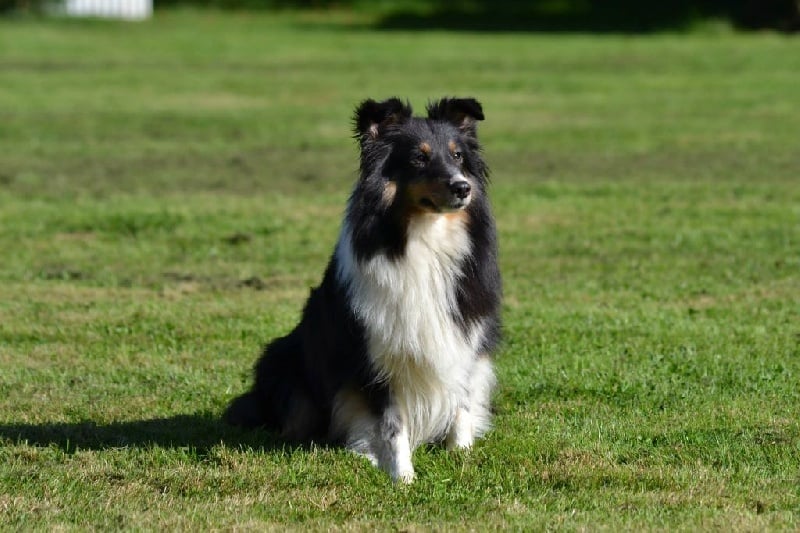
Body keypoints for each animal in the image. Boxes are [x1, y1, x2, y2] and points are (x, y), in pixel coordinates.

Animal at [223, 96, 500, 482]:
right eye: (418, 158)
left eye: (458, 156)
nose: (463, 188)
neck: (424, 239)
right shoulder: (375, 352)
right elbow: (391, 422)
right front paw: (402, 477)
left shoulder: (464, 337)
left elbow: (461, 401)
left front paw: (461, 456)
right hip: (281, 359)